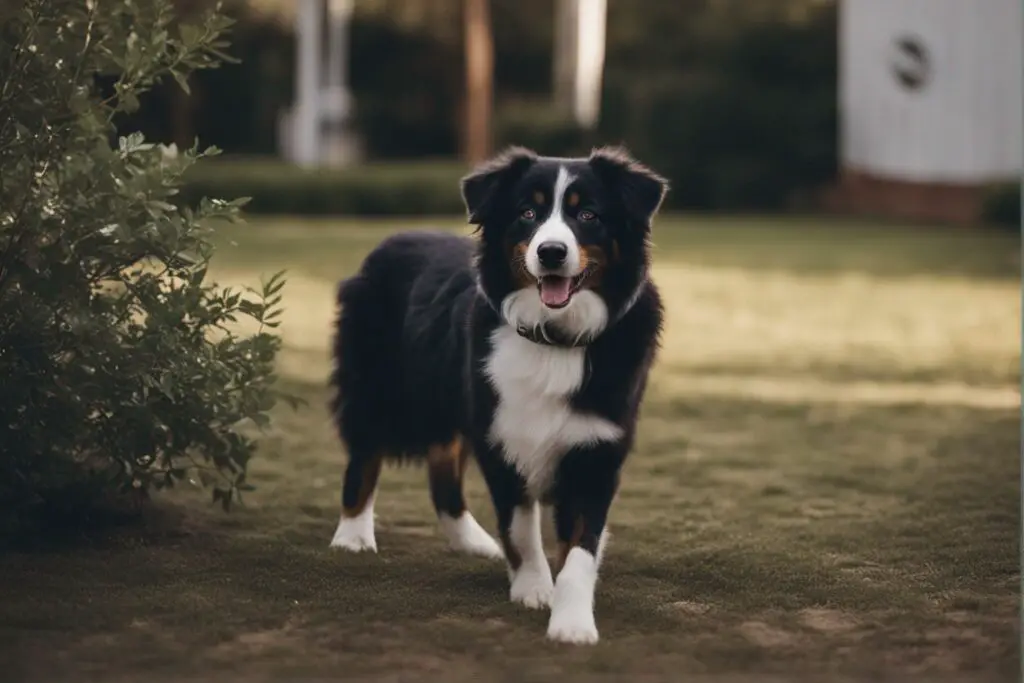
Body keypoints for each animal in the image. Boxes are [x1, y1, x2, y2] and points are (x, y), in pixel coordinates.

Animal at [323, 147, 667, 643]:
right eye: (528, 213)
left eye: (588, 215)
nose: (551, 252)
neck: (553, 338)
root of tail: (392, 239)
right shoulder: (503, 435)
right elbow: (522, 528)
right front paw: (534, 589)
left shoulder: (596, 450)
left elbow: (581, 550)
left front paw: (572, 622)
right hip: (380, 386)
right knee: (365, 454)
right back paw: (352, 536)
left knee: (443, 469)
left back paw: (472, 542)